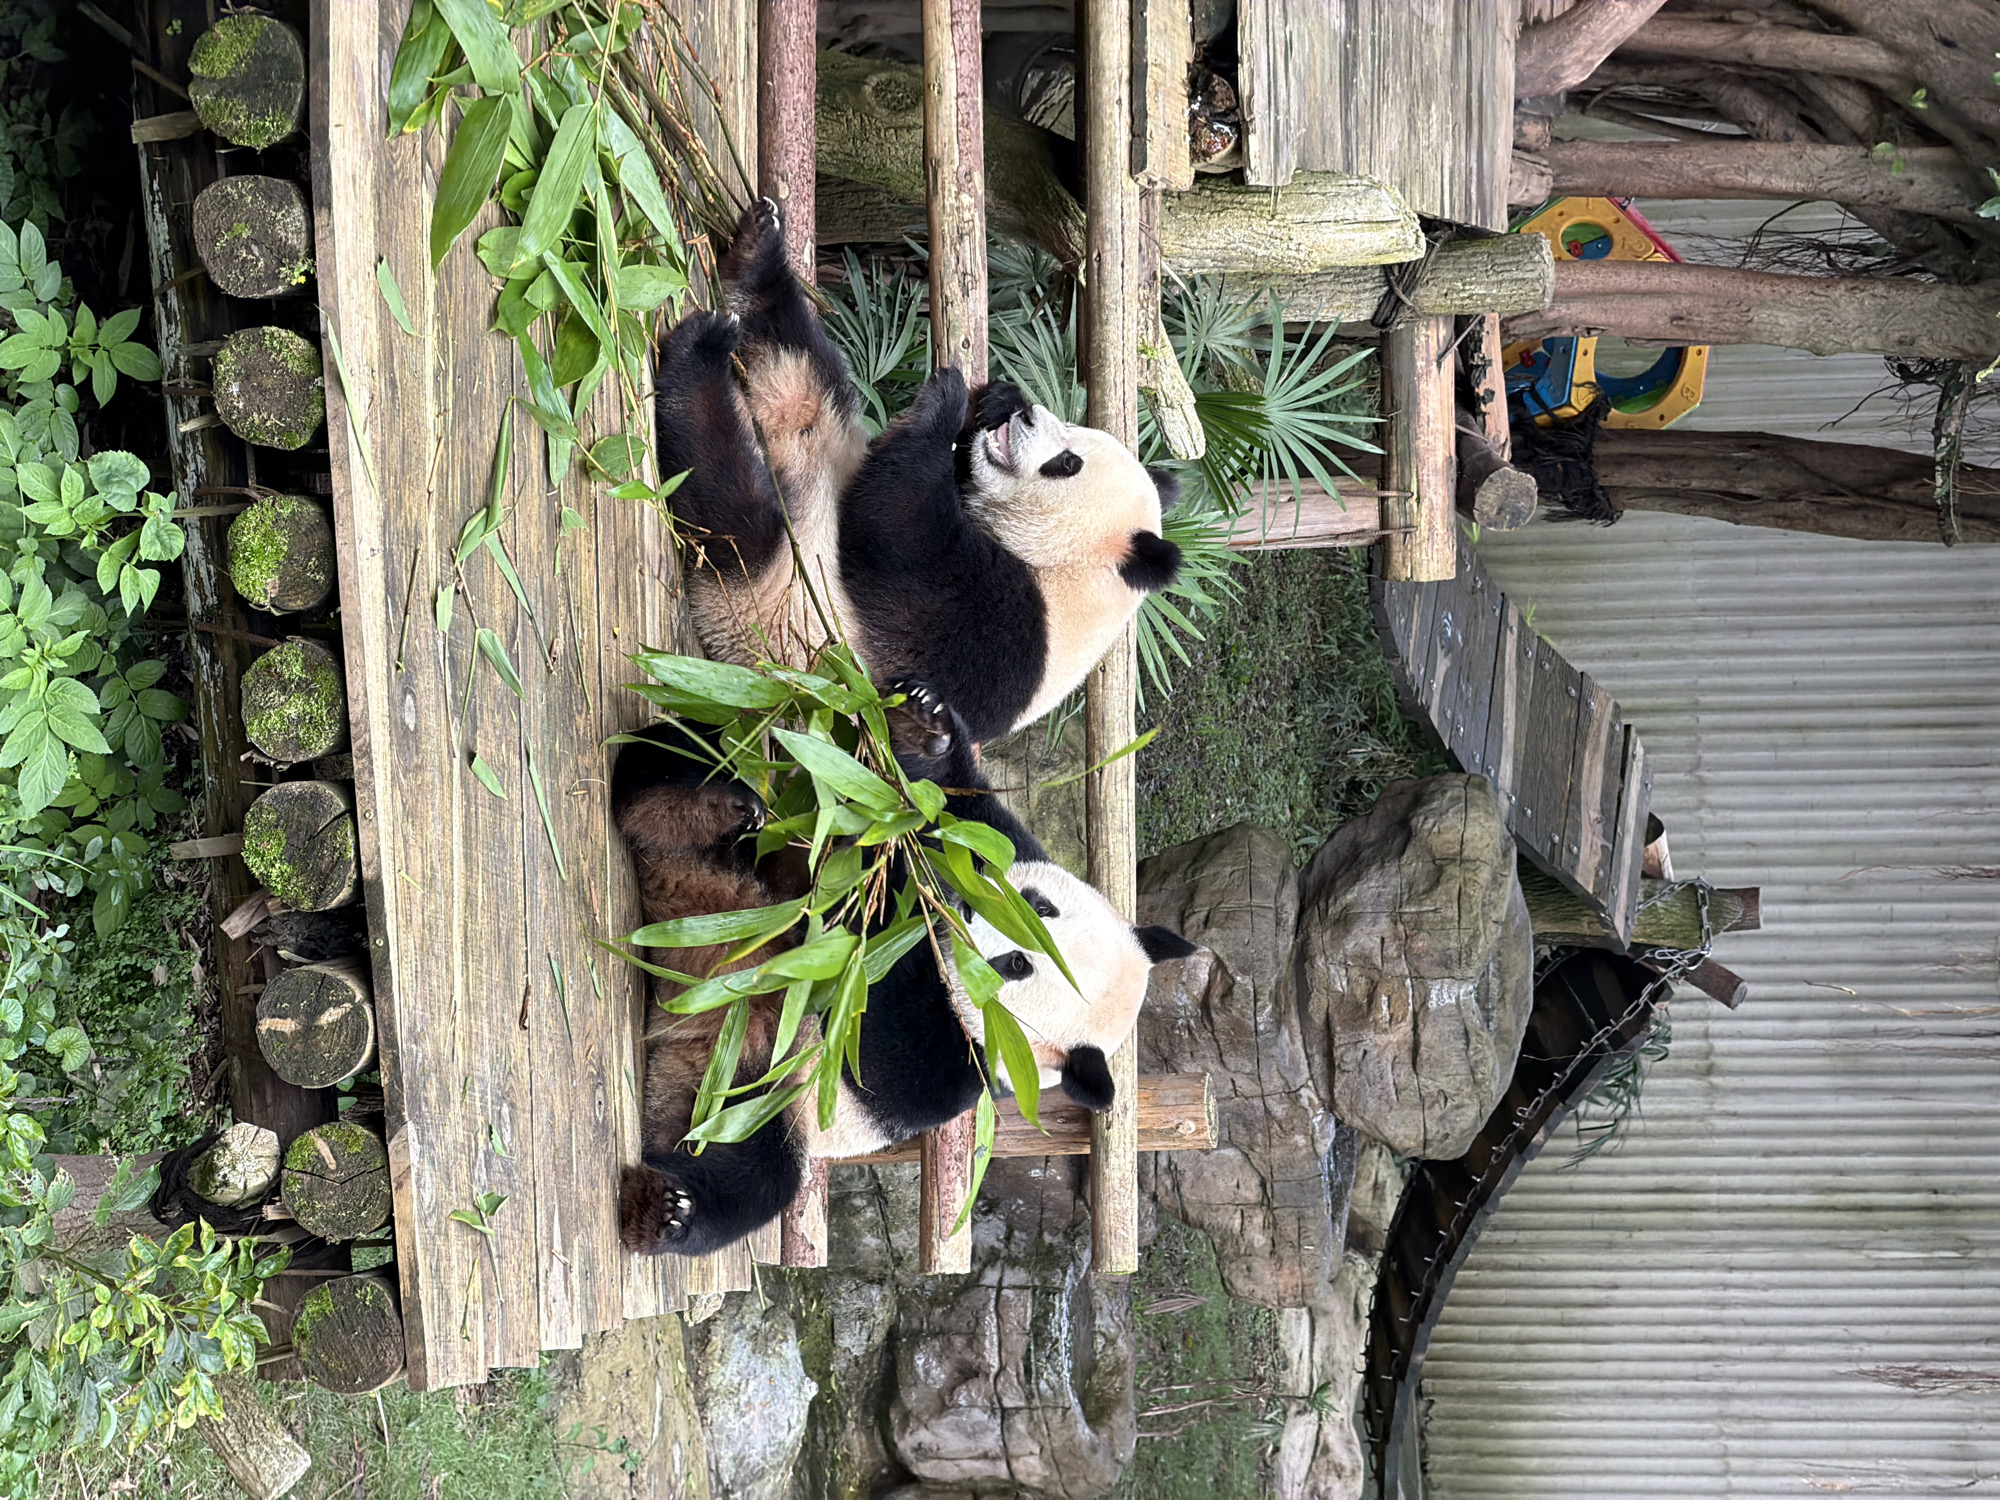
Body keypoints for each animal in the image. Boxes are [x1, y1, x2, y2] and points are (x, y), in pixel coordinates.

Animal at [613, 699, 1196, 1257]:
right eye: (1040, 907)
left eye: (1015, 966)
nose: (968, 907)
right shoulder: (993, 846)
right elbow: (951, 810)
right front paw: (924, 726)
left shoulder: (961, 1062)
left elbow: (871, 1038)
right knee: (682, 756)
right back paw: (720, 808)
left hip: (757, 1096)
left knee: (746, 1172)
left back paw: (667, 1211)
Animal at [652, 201, 1184, 747]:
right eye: (1074, 428)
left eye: (1068, 464)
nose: (1029, 415)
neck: (1072, 571)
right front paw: (993, 399)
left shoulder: (1002, 630)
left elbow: (892, 531)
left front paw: (944, 404)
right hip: (824, 434)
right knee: (800, 356)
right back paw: (758, 258)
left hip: (769, 610)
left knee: (727, 503)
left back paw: (700, 353)